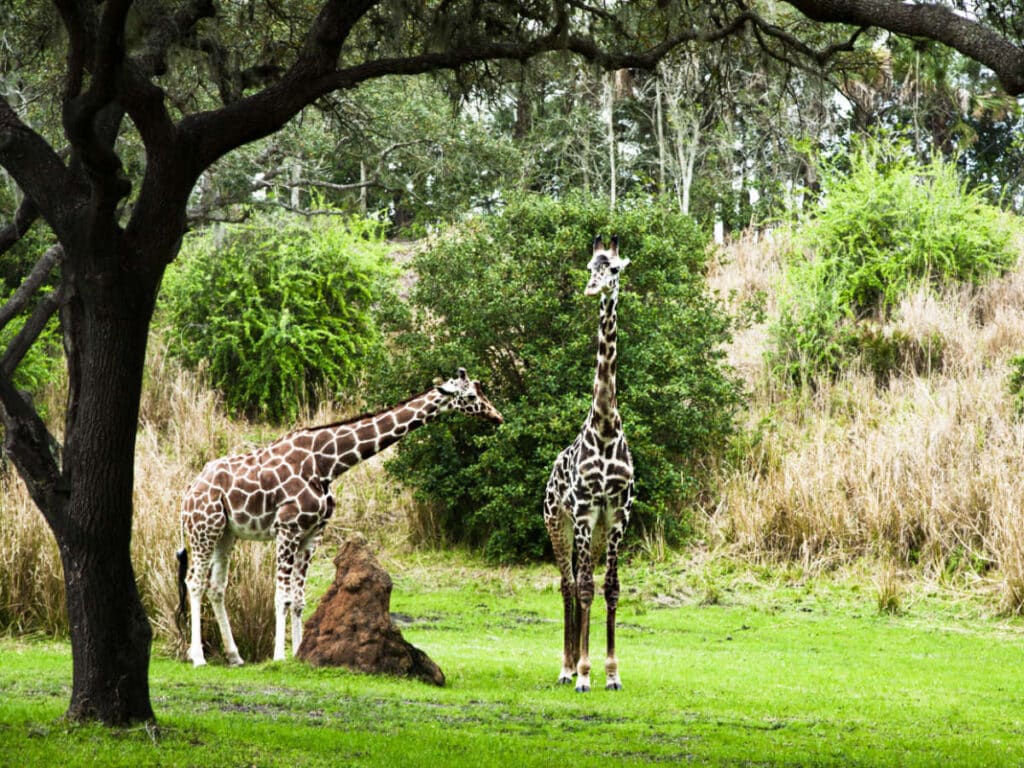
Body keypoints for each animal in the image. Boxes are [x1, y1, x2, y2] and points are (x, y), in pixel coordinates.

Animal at [176, 368, 503, 667]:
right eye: (471, 397)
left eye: (481, 391)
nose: (497, 417)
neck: (327, 464)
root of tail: (189, 491)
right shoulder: (287, 528)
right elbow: (281, 596)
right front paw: (279, 657)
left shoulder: (312, 534)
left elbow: (299, 599)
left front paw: (300, 654)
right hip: (204, 529)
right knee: (195, 582)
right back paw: (198, 658)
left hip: (226, 533)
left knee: (217, 587)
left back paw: (235, 656)